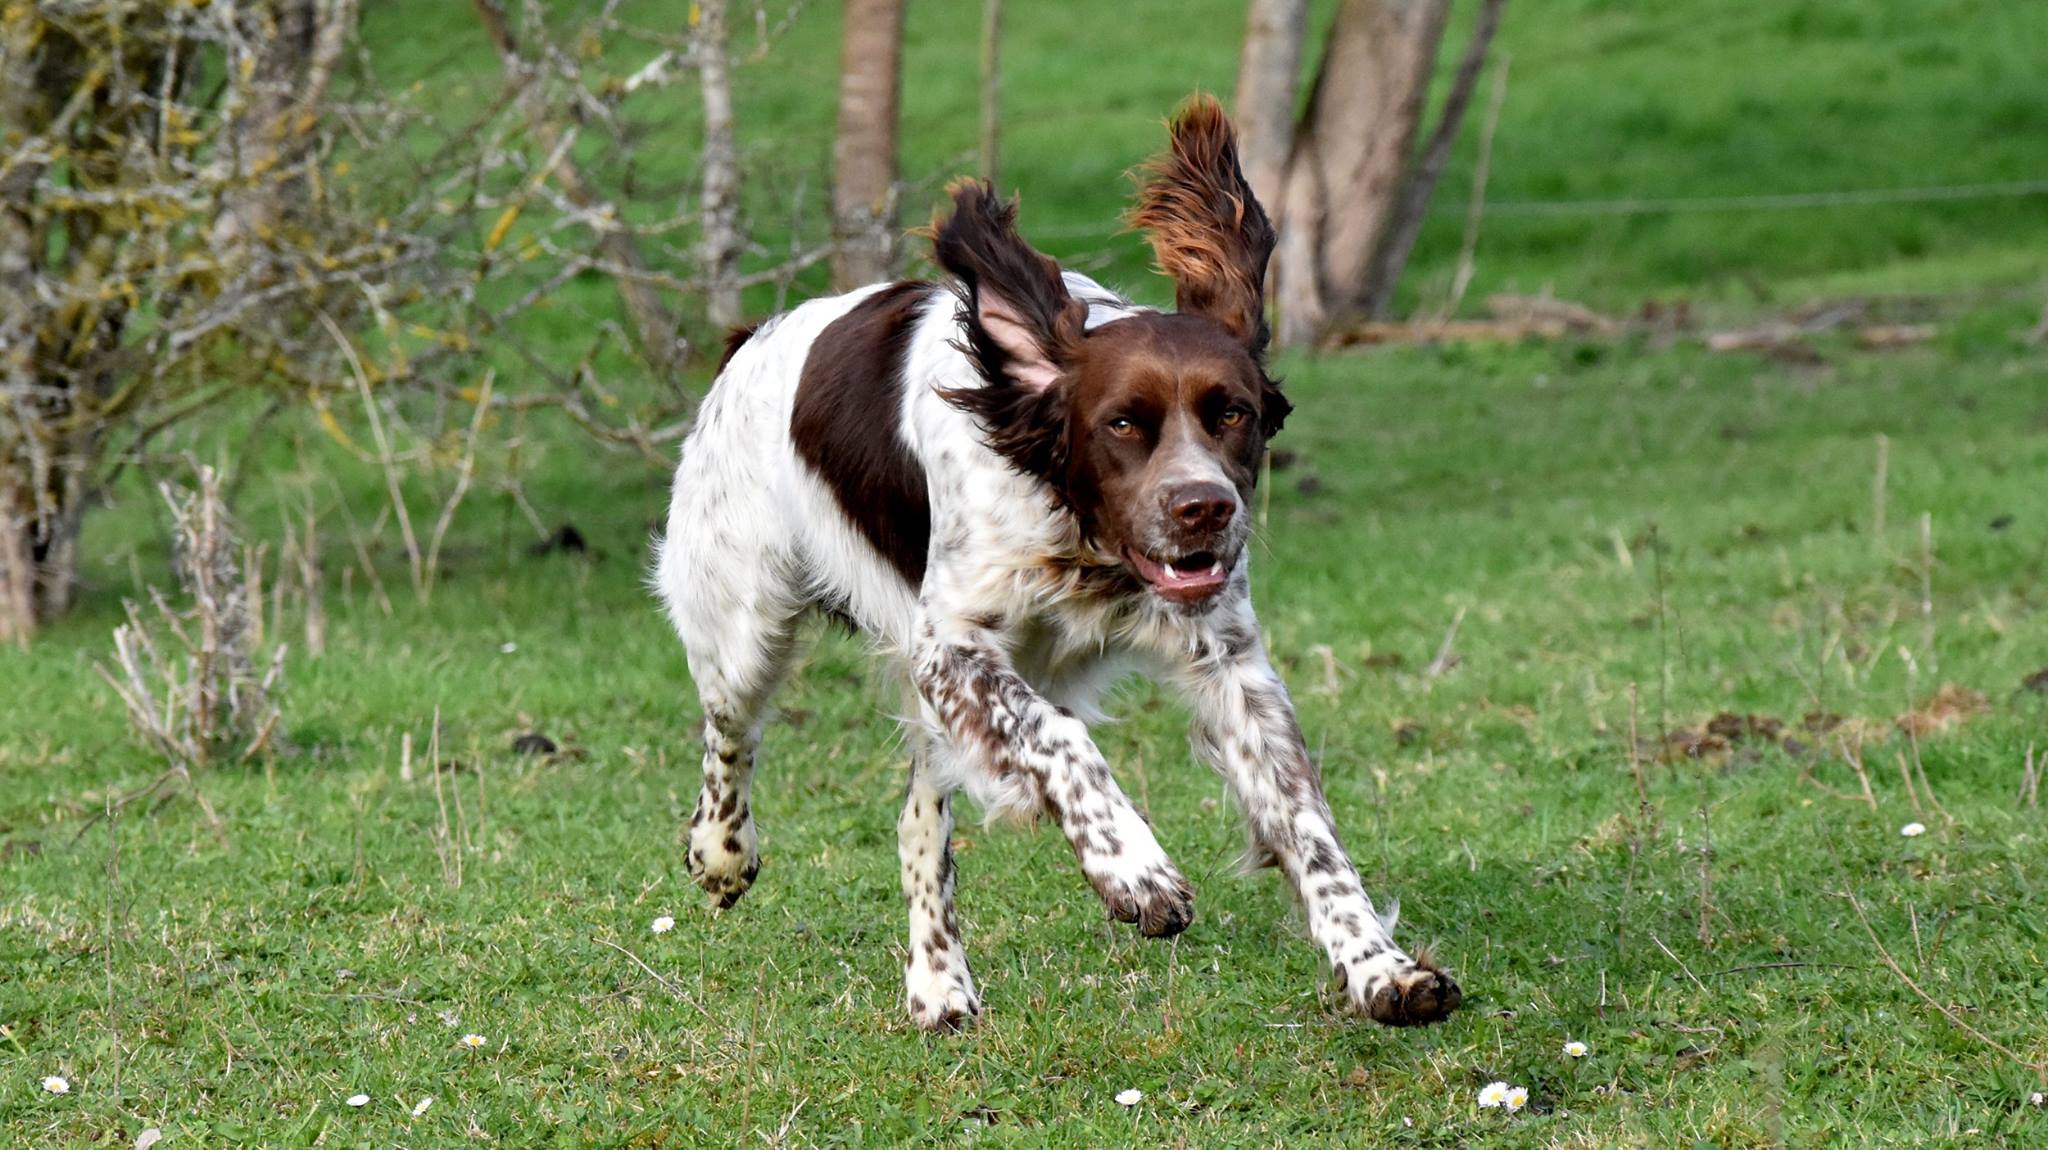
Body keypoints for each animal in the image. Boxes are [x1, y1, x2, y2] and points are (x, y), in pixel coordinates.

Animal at [655, 96, 1458, 1031]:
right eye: (1122, 424)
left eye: (1233, 413)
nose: (1204, 509)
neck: (1080, 535)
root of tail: (751, 337)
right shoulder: (950, 646)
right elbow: (1061, 740)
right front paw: (1134, 870)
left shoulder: (1229, 664)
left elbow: (1308, 828)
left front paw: (1379, 967)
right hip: (743, 624)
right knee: (730, 735)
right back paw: (720, 853)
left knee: (918, 818)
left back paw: (939, 982)